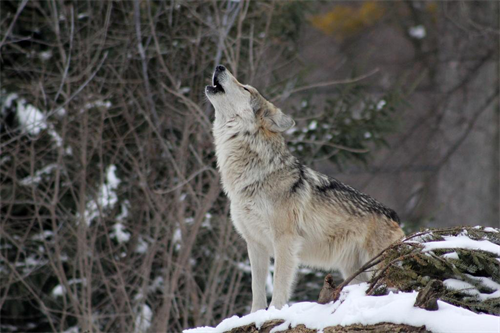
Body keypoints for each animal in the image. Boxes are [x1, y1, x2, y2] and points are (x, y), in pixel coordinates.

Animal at [205, 65, 404, 312]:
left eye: (245, 88)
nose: (219, 66)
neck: (253, 176)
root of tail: (393, 215)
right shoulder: (255, 243)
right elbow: (257, 291)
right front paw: (255, 315)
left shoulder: (285, 241)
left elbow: (279, 286)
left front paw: (274, 313)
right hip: (354, 271)